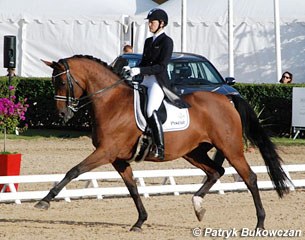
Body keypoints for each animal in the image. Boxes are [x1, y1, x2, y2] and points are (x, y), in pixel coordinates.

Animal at [35, 55, 290, 232]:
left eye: (62, 82)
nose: (61, 114)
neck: (111, 102)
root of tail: (227, 98)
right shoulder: (118, 158)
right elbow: (132, 188)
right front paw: (140, 221)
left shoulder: (105, 152)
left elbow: (74, 171)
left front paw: (44, 201)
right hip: (194, 152)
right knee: (216, 171)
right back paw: (198, 206)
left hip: (231, 148)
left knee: (250, 177)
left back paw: (260, 223)